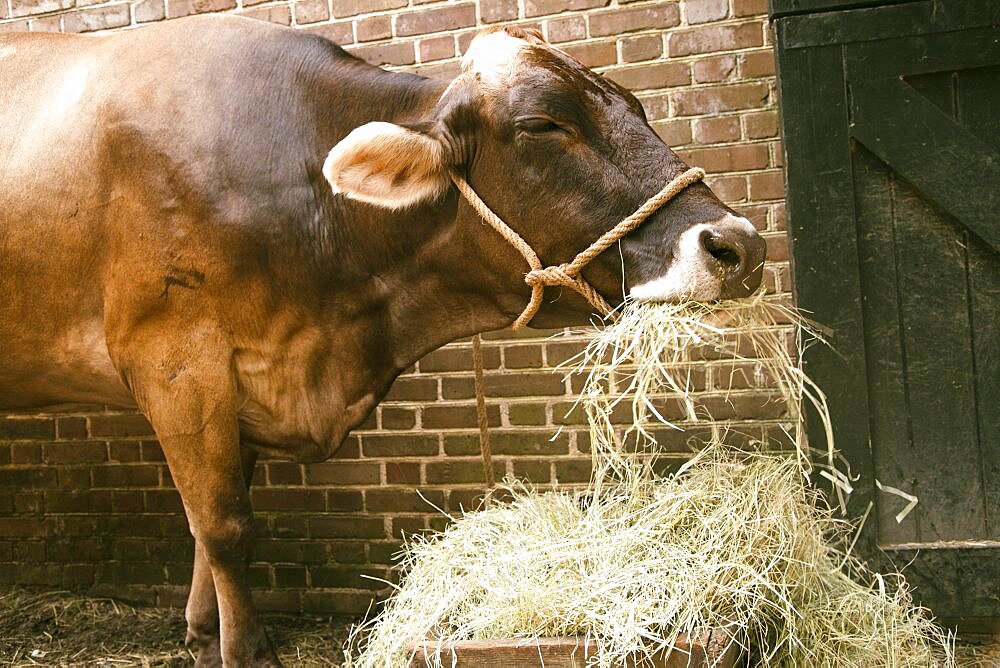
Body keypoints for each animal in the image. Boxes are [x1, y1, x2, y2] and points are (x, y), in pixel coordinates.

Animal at [0, 14, 764, 664]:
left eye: (637, 108)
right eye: (543, 124)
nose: (741, 245)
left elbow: (205, 519)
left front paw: (200, 632)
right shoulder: (177, 360)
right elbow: (223, 523)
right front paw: (247, 650)